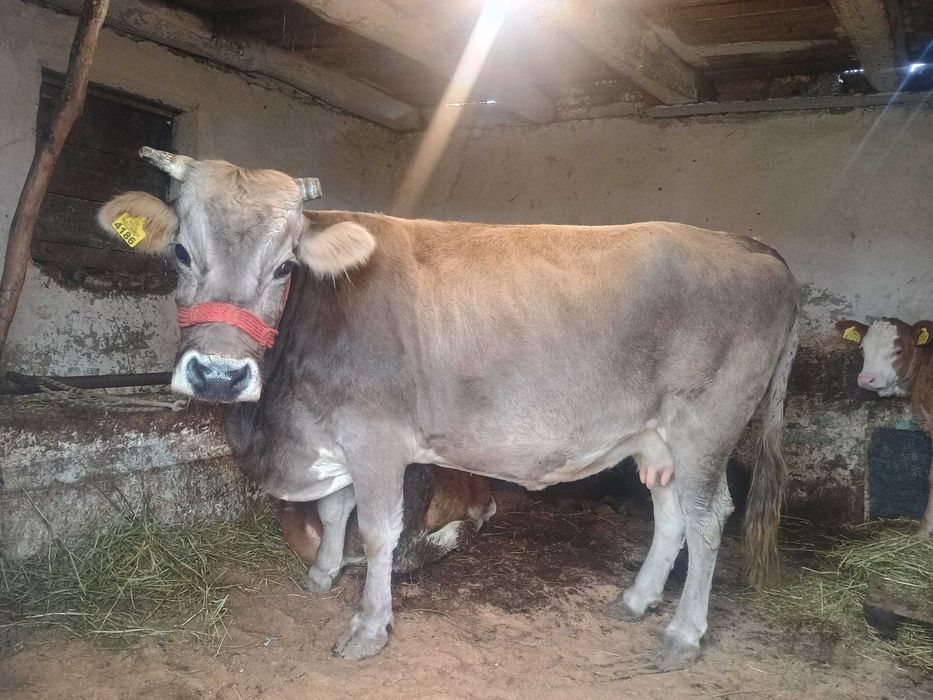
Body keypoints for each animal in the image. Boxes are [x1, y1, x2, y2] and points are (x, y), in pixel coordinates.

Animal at [99, 147, 798, 670]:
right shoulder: (334, 434)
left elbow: (378, 531)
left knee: (708, 520)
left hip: (706, 428)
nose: (219, 374)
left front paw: (368, 628)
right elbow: (335, 509)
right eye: (181, 253)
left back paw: (683, 635)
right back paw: (637, 599)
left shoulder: (376, 436)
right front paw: (322, 577)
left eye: (285, 268)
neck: (279, 423)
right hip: (656, 438)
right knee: (671, 514)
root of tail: (753, 246)